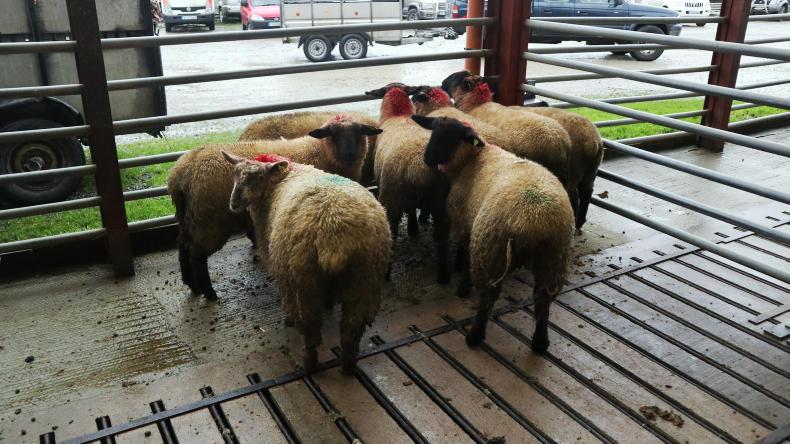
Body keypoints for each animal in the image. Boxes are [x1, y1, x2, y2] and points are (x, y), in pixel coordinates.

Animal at [223, 151, 391, 373]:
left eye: (258, 177)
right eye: (235, 173)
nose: (234, 203)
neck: (282, 178)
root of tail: (334, 233)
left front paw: (288, 320)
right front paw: (328, 304)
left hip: (302, 279)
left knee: (310, 328)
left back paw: (308, 363)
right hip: (365, 277)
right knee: (352, 328)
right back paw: (348, 365)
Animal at [364, 83, 451, 284]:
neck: (397, 115)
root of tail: (420, 169)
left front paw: (412, 229)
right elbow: (411, 211)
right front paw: (413, 228)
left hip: (391, 197)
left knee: (392, 234)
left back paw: (386, 274)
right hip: (441, 202)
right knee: (443, 238)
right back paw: (443, 275)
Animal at [413, 115, 574, 353]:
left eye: (451, 136)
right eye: (433, 130)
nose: (428, 158)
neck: (473, 159)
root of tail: (534, 221)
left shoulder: (465, 223)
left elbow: (465, 254)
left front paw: (463, 283)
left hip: (491, 249)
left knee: (488, 296)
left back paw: (474, 336)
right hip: (553, 257)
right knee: (543, 299)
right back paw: (540, 343)